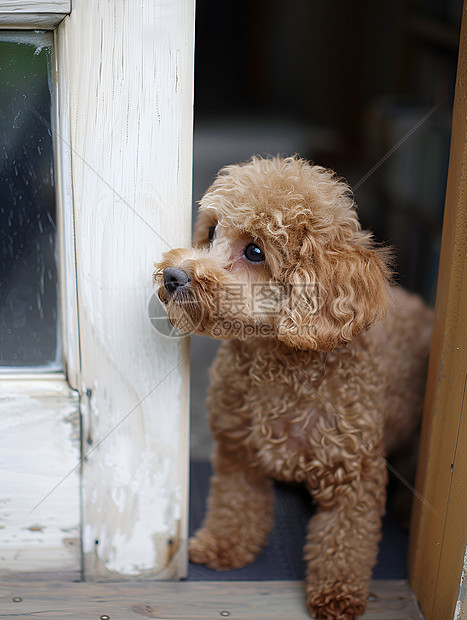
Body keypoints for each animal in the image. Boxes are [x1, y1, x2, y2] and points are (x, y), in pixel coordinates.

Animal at [154, 156, 436, 620]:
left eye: (255, 251)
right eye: (211, 232)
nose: (174, 276)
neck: (279, 369)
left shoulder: (355, 475)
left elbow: (344, 541)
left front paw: (337, 594)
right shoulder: (237, 452)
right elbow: (234, 505)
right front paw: (222, 546)